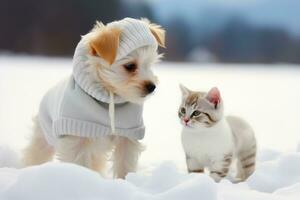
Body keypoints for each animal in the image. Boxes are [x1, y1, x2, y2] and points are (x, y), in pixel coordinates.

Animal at [22, 17, 165, 178]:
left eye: (150, 64)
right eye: (130, 66)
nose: (152, 86)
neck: (108, 96)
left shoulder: (128, 135)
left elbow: (125, 162)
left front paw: (125, 180)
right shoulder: (76, 137)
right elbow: (78, 163)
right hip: (43, 137)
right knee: (34, 154)